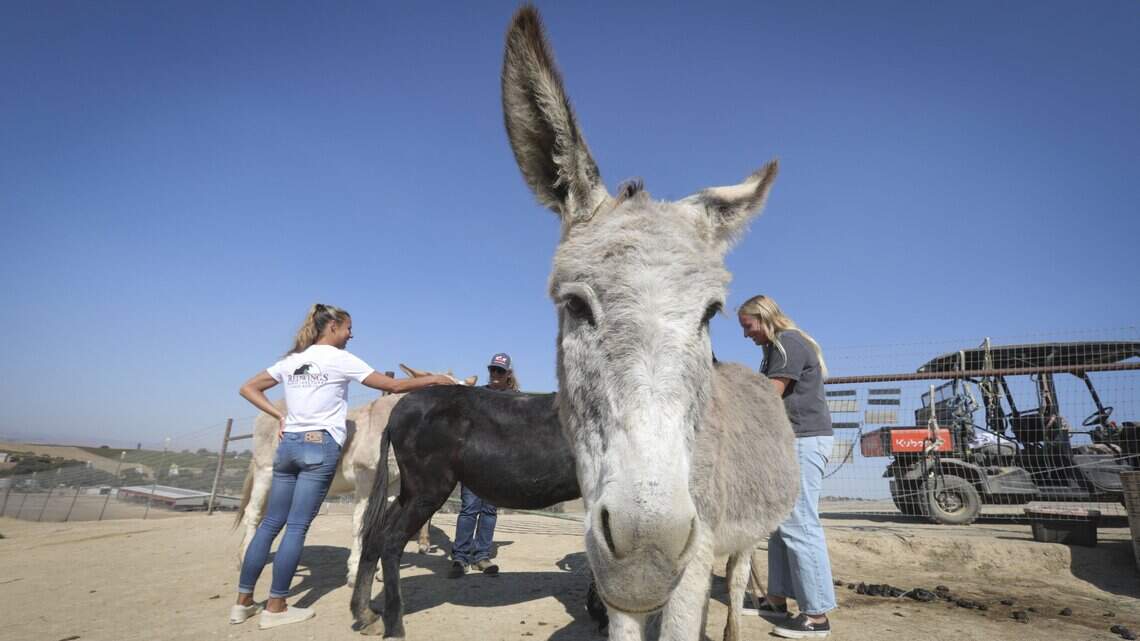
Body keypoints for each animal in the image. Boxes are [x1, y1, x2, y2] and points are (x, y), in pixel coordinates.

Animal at [349, 385, 580, 638]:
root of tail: (398, 410)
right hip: (427, 491)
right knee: (391, 541)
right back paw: (394, 625)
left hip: (411, 493)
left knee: (375, 535)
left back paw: (366, 615)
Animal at [501, 7, 798, 641]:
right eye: (575, 305)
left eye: (710, 314)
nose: (647, 549)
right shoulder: (611, 554)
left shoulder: (697, 545)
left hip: (747, 531)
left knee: (739, 577)